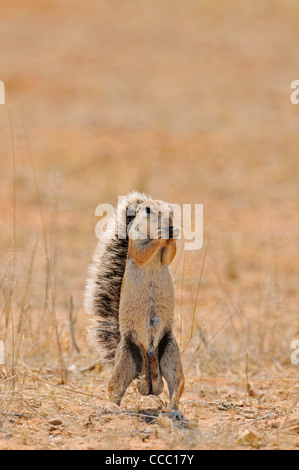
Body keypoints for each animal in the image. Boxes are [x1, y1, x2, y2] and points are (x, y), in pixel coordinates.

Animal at [85, 191, 185, 418]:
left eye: (172, 209)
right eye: (147, 210)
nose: (169, 223)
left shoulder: (165, 254)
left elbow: (169, 256)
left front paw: (174, 233)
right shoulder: (135, 242)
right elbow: (142, 253)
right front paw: (160, 234)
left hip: (171, 353)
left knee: (176, 386)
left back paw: (174, 411)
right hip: (125, 360)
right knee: (114, 390)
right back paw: (113, 408)